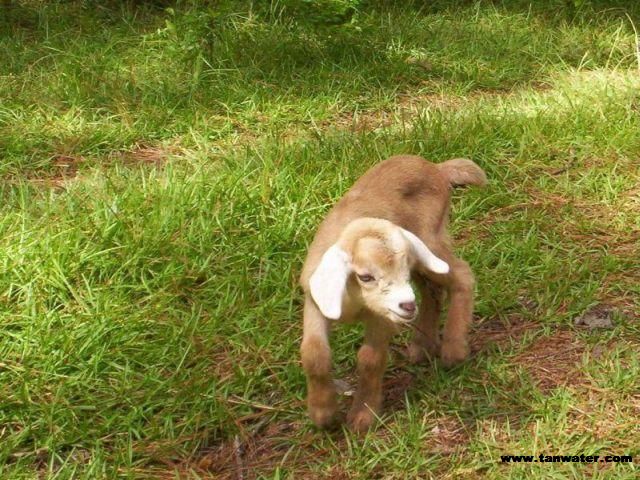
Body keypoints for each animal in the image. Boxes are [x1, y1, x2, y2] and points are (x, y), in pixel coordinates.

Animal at [298, 154, 484, 432]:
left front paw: (363, 416)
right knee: (432, 291)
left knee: (461, 274)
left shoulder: (383, 317)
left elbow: (370, 358)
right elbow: (314, 353)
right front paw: (323, 414)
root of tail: (436, 168)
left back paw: (453, 349)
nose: (407, 306)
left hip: (430, 242)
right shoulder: (316, 301)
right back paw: (423, 346)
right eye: (365, 276)